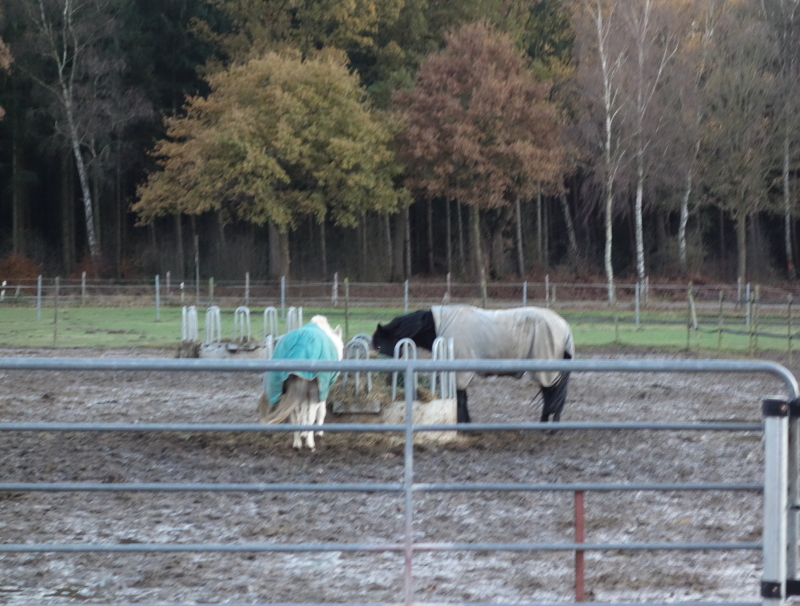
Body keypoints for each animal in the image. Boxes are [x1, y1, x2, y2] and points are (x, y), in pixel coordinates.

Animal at [258, 315, 344, 450]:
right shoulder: (323, 390)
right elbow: (320, 412)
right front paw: (318, 432)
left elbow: (303, 412)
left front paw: (303, 434)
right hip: (314, 391)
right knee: (310, 415)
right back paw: (310, 443)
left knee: (294, 416)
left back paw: (297, 443)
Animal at [371, 305, 574, 424]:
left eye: (379, 345)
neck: (436, 326)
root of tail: (564, 327)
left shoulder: (459, 372)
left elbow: (461, 400)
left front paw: (463, 425)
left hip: (546, 370)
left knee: (552, 396)